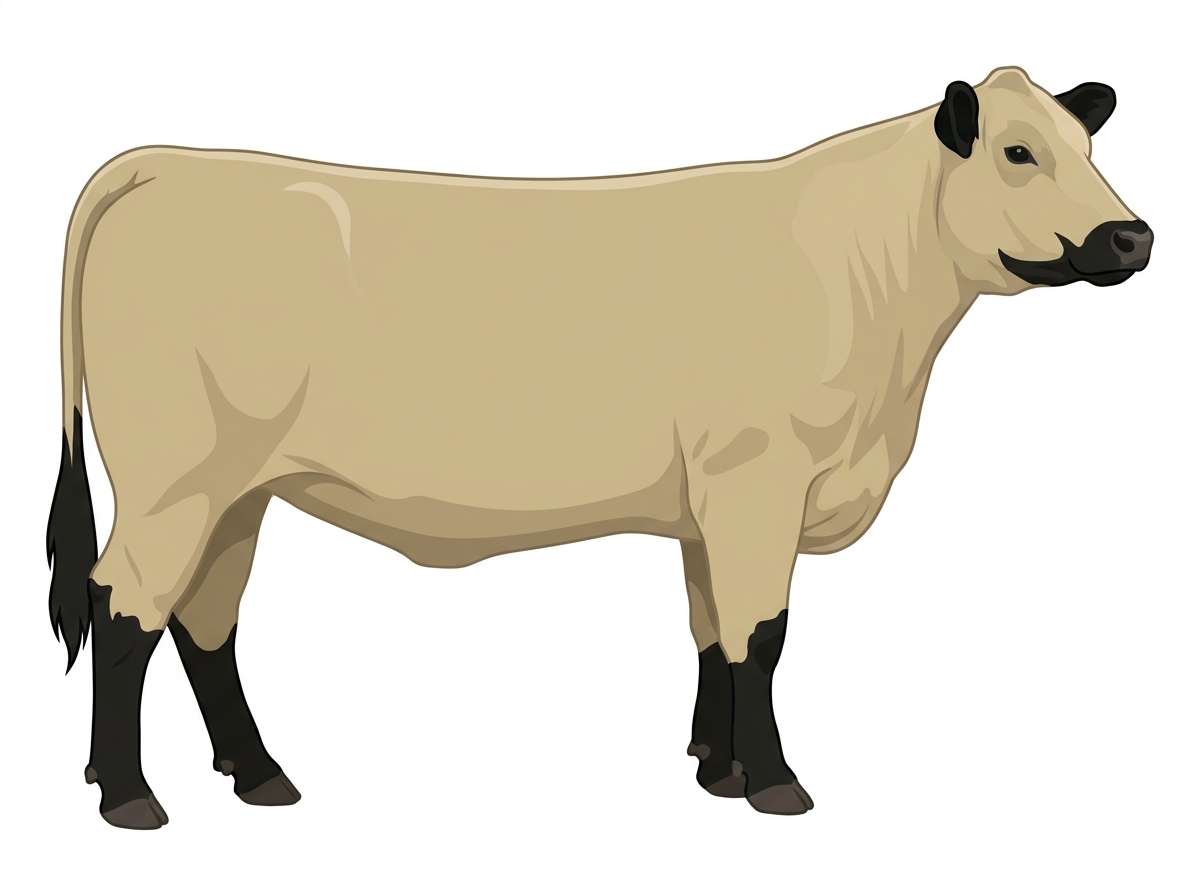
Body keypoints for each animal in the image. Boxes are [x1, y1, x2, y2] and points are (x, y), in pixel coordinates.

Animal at [46, 67, 1152, 829]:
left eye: (1086, 145)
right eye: (1018, 153)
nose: (1131, 237)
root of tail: (162, 159)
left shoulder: (714, 500)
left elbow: (713, 632)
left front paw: (718, 769)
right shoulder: (758, 480)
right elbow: (764, 635)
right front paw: (776, 783)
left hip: (238, 488)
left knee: (205, 619)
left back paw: (259, 774)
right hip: (174, 479)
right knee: (124, 606)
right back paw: (129, 796)